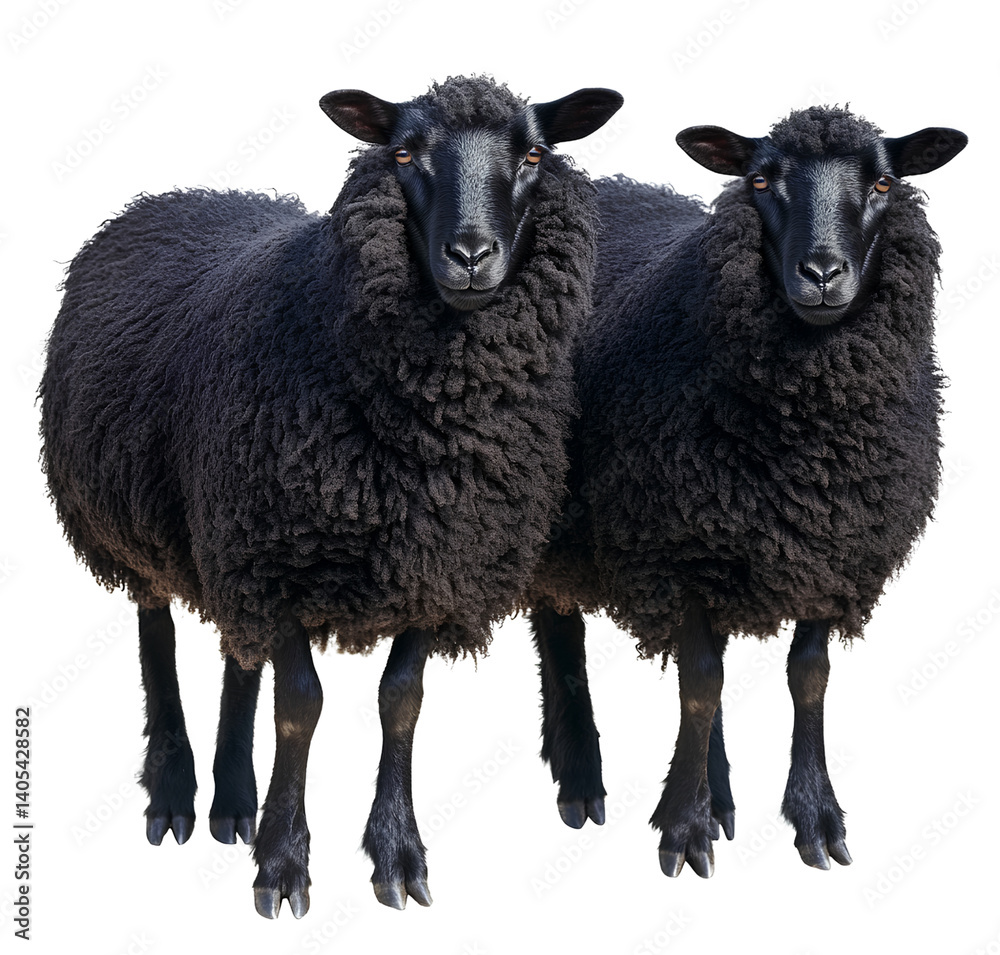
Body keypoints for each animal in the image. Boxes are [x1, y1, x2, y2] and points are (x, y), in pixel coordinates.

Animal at [39, 75, 623, 917]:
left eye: (535, 155)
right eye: (405, 152)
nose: (471, 254)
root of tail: (169, 196)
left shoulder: (433, 560)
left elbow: (400, 697)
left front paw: (395, 853)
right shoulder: (280, 555)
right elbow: (300, 704)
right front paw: (282, 863)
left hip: (225, 534)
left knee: (237, 651)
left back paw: (232, 803)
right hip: (139, 523)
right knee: (158, 638)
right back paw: (176, 794)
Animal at [525, 106, 966, 878]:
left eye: (883, 182)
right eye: (761, 180)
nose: (822, 272)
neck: (811, 450)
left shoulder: (832, 550)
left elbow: (806, 674)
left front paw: (815, 815)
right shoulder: (675, 547)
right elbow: (701, 685)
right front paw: (682, 824)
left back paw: (718, 788)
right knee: (561, 627)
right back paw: (581, 774)